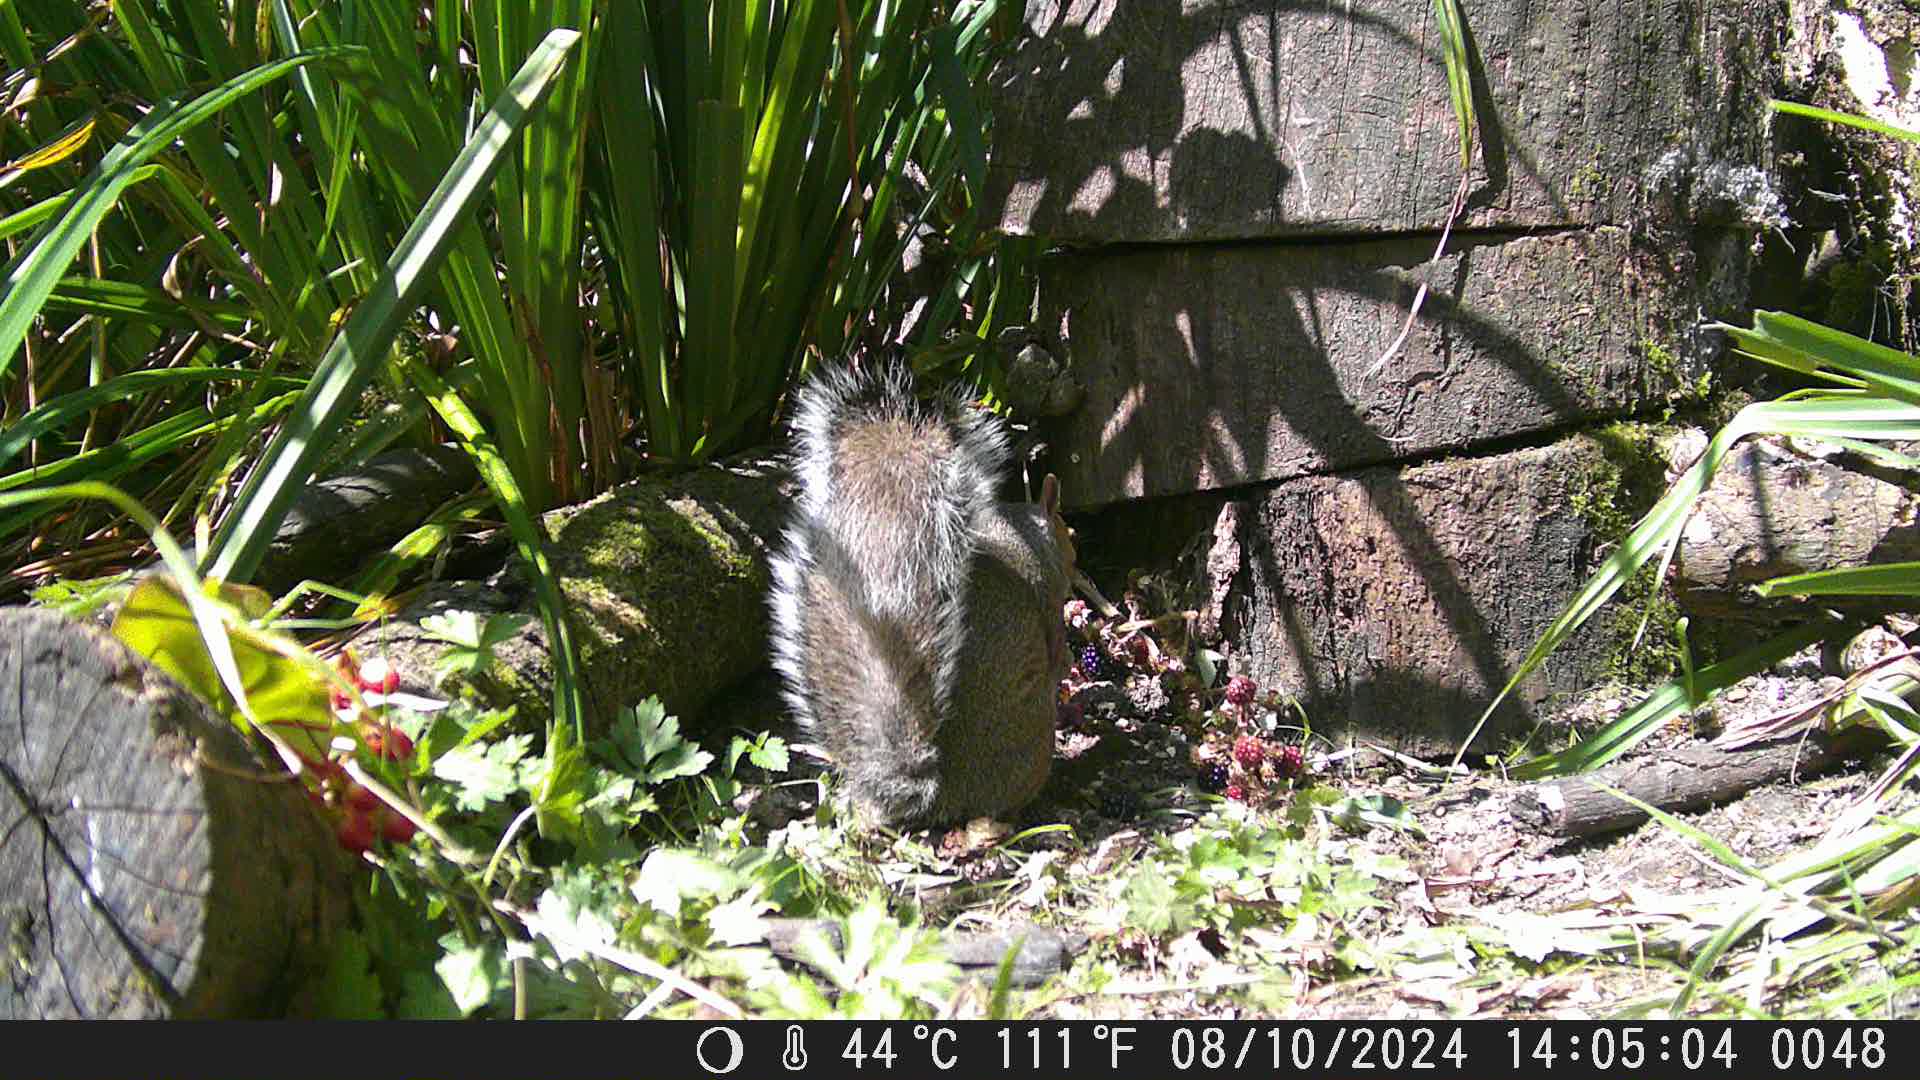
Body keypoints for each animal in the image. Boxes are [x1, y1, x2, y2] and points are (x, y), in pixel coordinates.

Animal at [768, 363, 1075, 827]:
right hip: (1031, 738)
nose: (1078, 562)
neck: (1023, 535)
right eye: (1070, 533)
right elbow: (1056, 647)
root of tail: (936, 793)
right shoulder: (1049, 601)